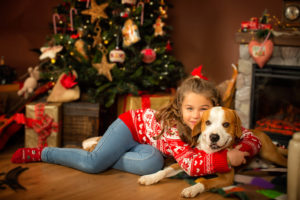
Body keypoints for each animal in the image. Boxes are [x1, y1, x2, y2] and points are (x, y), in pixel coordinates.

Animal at [137, 107, 288, 198]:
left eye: (226, 124)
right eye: (207, 122)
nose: (214, 137)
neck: (210, 153)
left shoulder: (226, 179)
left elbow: (205, 182)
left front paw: (192, 189)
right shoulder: (190, 162)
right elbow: (165, 170)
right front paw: (150, 177)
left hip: (270, 154)